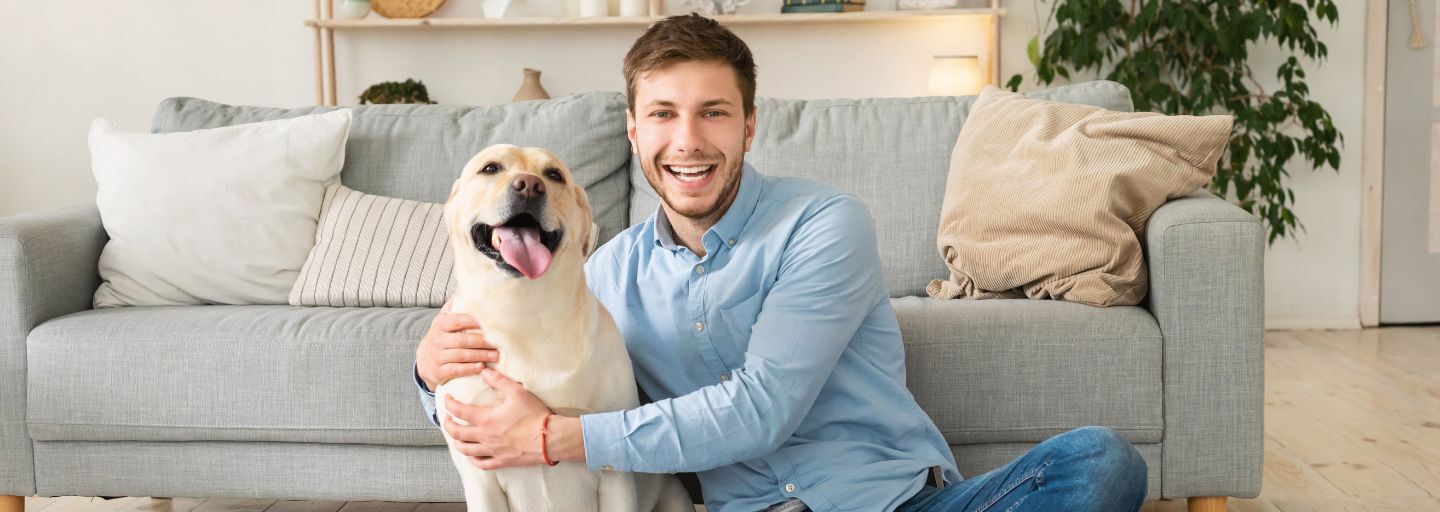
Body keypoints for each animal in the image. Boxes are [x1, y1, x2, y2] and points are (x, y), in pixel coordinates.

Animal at [437, 145, 691, 512]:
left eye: (554, 175)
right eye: (489, 168)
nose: (529, 186)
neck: (524, 311)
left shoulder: (615, 474)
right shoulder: (480, 478)